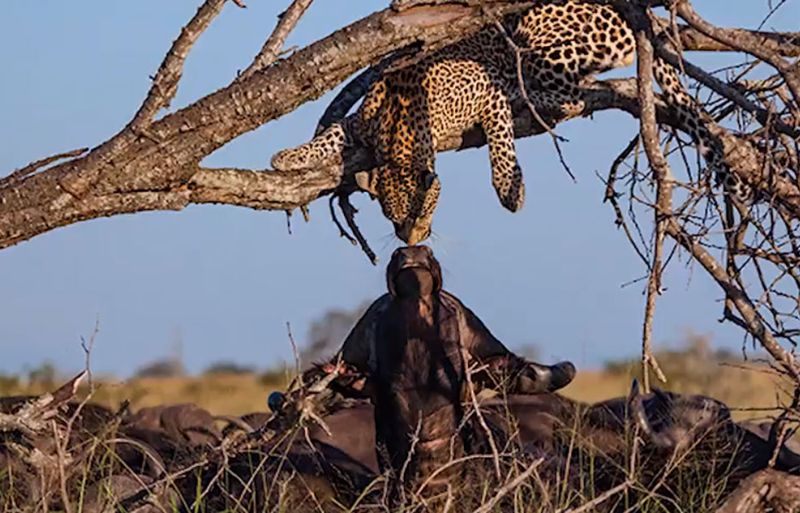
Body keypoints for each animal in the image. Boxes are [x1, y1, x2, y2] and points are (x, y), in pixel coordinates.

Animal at [272, 0, 752, 244]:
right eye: (391, 219)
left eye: (422, 211)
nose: (413, 241)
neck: (401, 130)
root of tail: (642, 17)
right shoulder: (361, 124)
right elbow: (334, 132)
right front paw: (289, 157)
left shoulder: (486, 94)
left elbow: (500, 139)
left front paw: (509, 189)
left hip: (540, 46)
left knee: (569, 93)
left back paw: (531, 95)